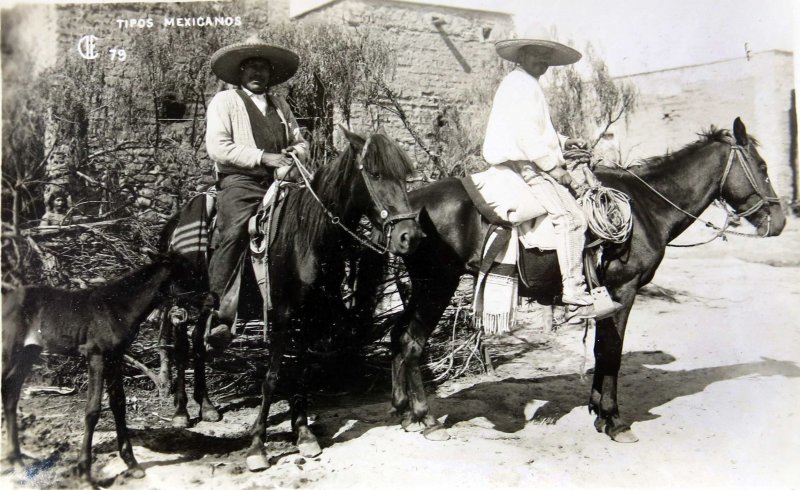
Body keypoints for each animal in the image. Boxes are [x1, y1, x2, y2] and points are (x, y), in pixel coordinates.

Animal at [1, 253, 200, 482]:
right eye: (185, 274)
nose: (212, 298)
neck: (116, 307)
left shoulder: (114, 357)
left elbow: (118, 404)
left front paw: (132, 464)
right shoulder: (95, 356)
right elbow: (93, 409)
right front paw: (84, 471)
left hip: (28, 353)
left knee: (11, 392)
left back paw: (16, 460)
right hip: (10, 351)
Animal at [161, 127, 424, 470]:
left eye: (404, 176)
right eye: (376, 173)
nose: (410, 236)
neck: (306, 237)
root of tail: (173, 223)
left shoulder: (312, 315)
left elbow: (303, 371)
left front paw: (304, 434)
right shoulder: (283, 314)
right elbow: (273, 377)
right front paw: (257, 446)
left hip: (207, 303)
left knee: (197, 338)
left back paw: (206, 405)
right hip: (181, 297)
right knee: (180, 340)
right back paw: (181, 411)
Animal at [370, 118, 788, 444]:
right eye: (762, 166)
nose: (780, 221)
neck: (645, 208)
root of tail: (407, 208)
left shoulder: (608, 296)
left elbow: (603, 350)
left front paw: (599, 412)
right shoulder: (623, 290)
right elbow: (612, 352)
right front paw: (615, 421)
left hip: (421, 287)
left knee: (398, 336)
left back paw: (404, 413)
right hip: (436, 285)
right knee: (412, 341)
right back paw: (426, 419)